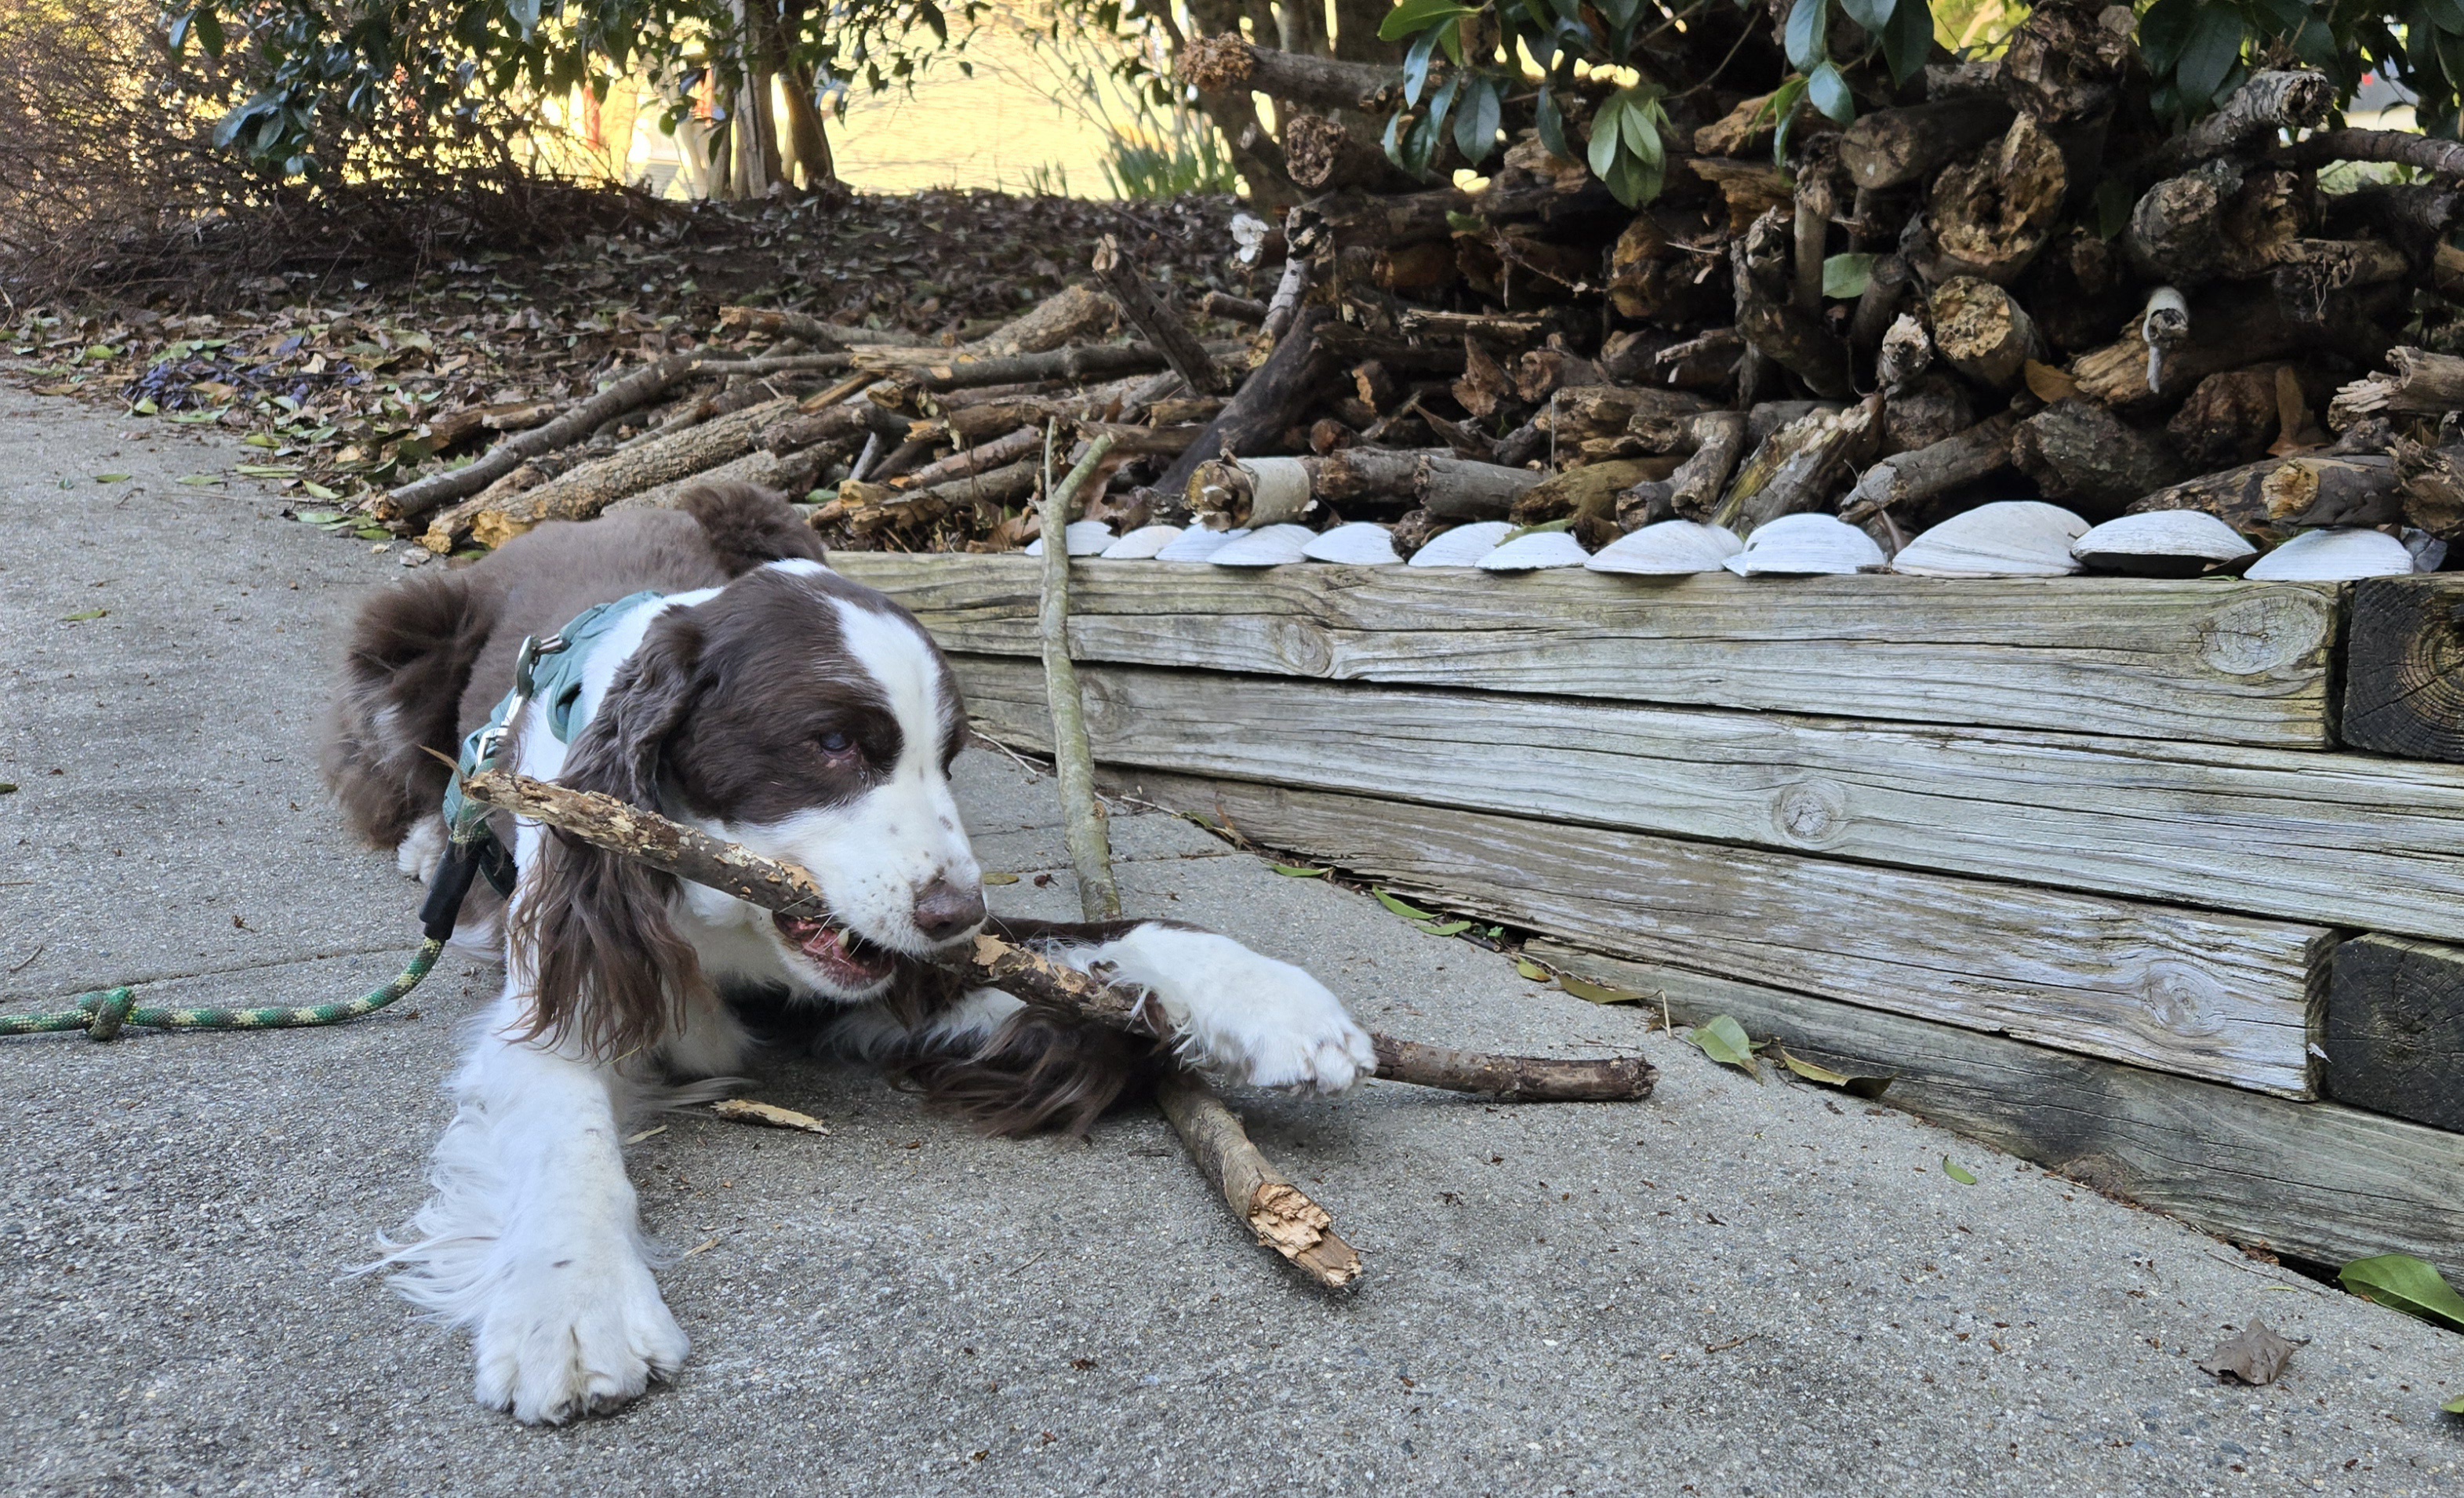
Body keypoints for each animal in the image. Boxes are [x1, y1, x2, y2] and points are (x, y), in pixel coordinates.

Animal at [318, 485, 1379, 1419]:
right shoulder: (569, 965)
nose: (955, 913)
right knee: (393, 771)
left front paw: (1278, 1007)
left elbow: (1096, 943)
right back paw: (432, 841)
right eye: (830, 742)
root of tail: (565, 518)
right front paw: (573, 1309)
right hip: (404, 631)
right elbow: (562, 1126)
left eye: (946, 757)